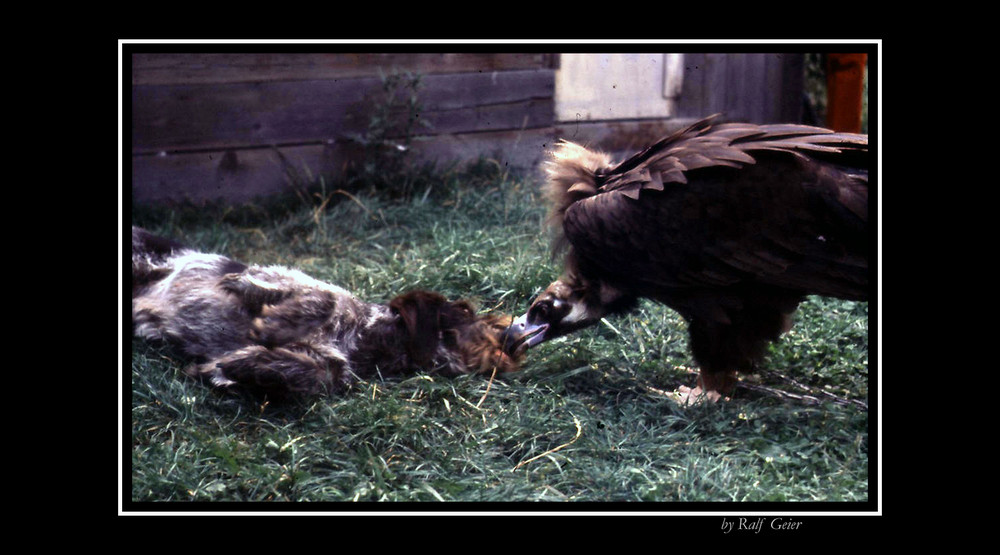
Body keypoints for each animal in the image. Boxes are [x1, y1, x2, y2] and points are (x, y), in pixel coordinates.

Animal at [132, 228, 520, 402]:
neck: (362, 338)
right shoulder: (280, 278)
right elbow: (323, 298)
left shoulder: (328, 362)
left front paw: (240, 367)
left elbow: (317, 371)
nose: (514, 338)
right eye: (466, 311)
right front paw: (271, 323)